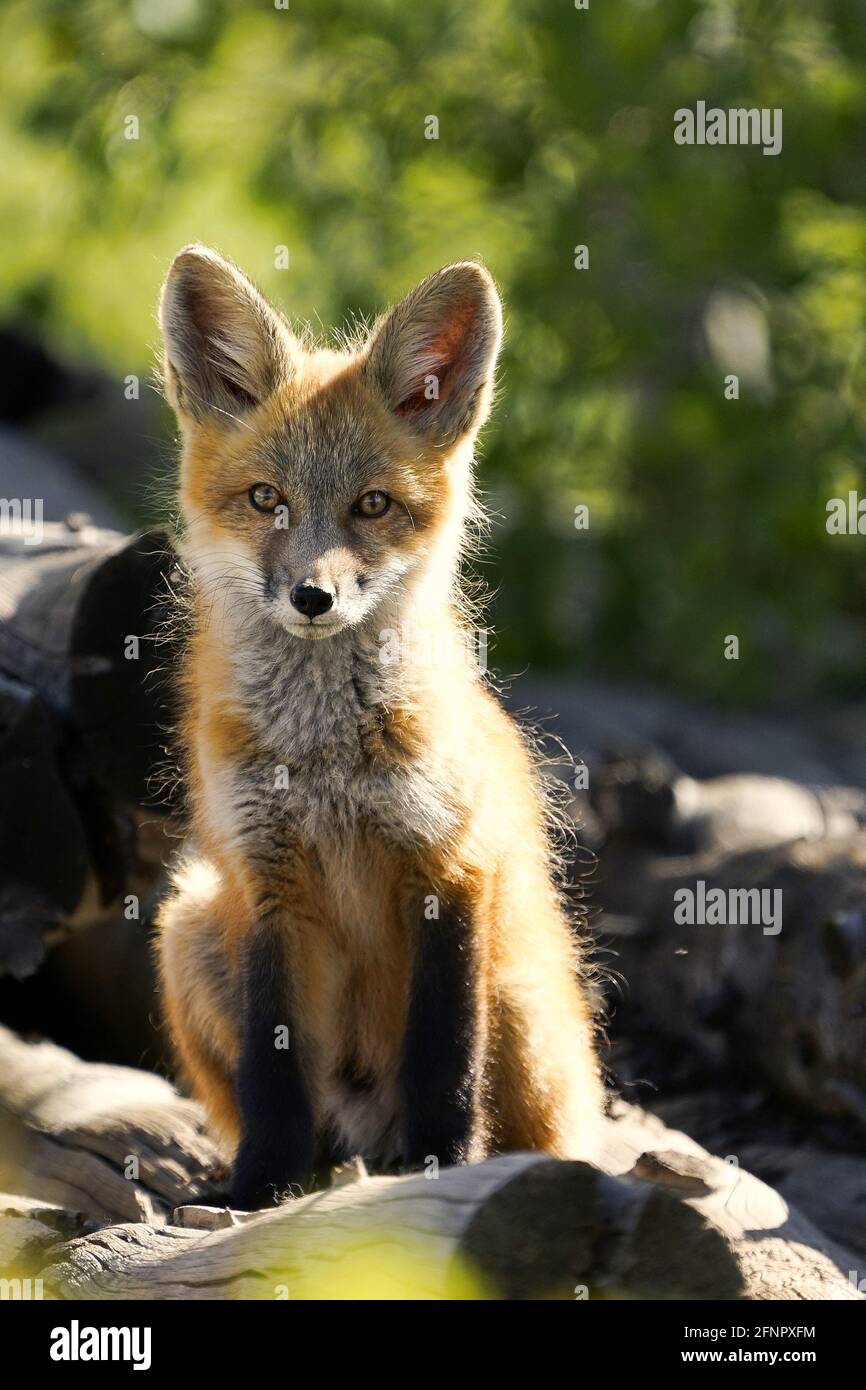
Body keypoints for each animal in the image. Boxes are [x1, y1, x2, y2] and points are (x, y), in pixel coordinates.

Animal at [155, 247, 603, 1206]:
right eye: (266, 499)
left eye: (370, 506)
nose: (312, 597)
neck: (326, 762)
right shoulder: (265, 887)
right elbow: (273, 1070)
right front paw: (259, 1188)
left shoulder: (451, 866)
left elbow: (443, 1059)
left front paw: (443, 1167)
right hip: (186, 925)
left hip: (520, 1003)